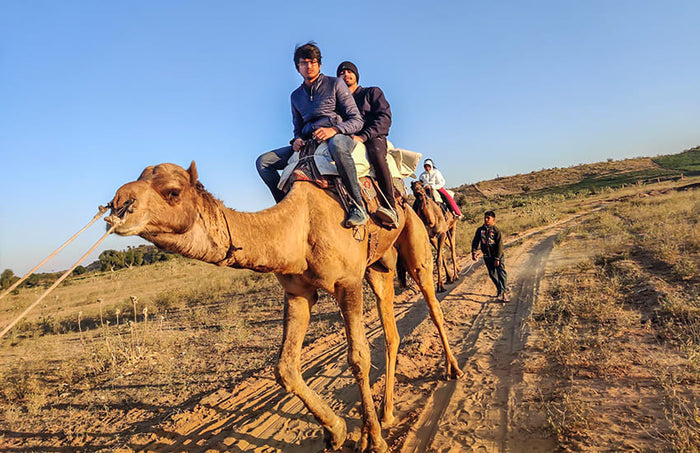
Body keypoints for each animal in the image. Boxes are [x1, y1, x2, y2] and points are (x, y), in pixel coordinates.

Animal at [106, 161, 462, 453]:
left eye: (172, 191)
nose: (118, 203)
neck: (299, 227)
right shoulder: (297, 293)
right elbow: (285, 368)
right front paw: (337, 431)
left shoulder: (347, 283)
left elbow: (358, 358)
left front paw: (373, 440)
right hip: (379, 267)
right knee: (390, 332)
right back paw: (387, 412)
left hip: (414, 242)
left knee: (432, 302)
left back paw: (452, 368)